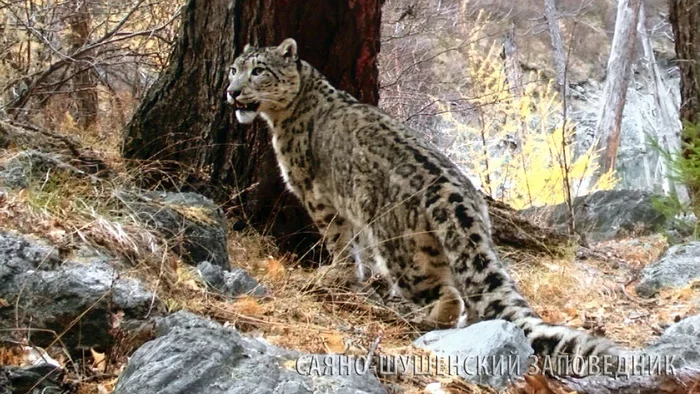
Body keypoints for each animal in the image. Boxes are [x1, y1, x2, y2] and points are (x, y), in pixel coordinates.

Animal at [224, 38, 616, 364]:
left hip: (403, 253)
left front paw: (335, 274)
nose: (232, 91)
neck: (283, 116)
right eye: (233, 68)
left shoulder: (316, 195)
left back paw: (424, 318)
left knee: (447, 295)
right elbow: (358, 246)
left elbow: (339, 240)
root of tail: (454, 193)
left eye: (258, 70)